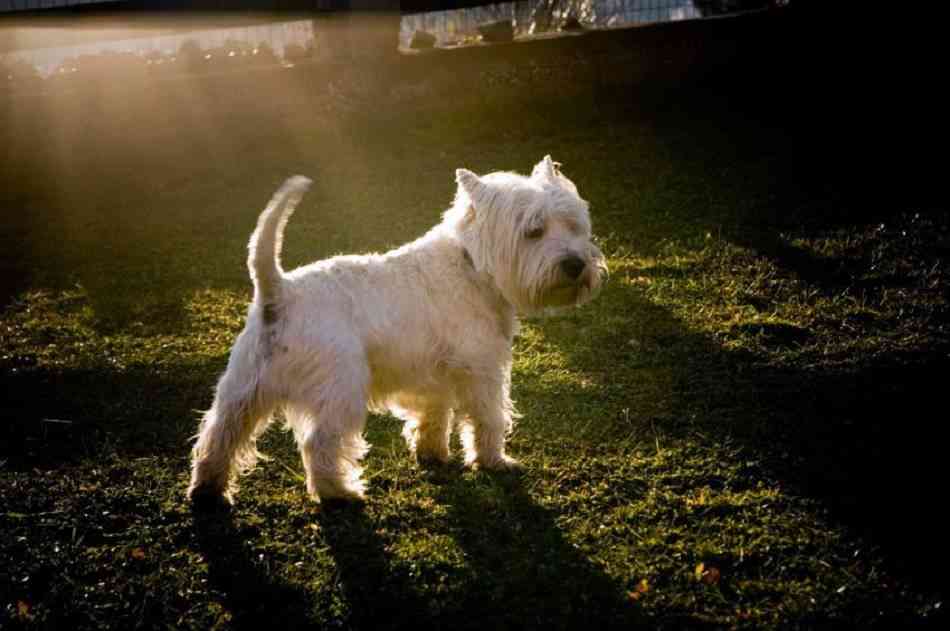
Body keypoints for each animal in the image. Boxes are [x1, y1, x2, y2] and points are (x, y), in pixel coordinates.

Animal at [186, 158, 608, 508]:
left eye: (574, 225)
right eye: (534, 231)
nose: (575, 264)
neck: (473, 266)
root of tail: (278, 292)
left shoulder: (436, 376)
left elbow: (435, 415)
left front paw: (432, 453)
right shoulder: (483, 369)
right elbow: (488, 417)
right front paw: (495, 461)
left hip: (243, 388)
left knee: (218, 434)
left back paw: (208, 491)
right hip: (339, 389)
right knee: (318, 443)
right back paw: (339, 492)